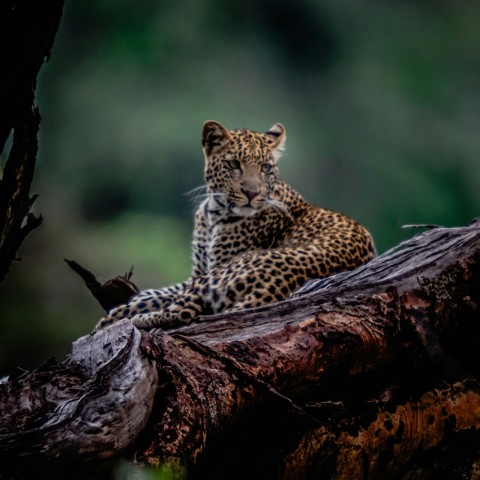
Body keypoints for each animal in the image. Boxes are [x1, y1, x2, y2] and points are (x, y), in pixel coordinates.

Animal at [94, 120, 376, 332]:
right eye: (233, 164)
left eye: (265, 167)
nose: (251, 193)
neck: (213, 213)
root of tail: (277, 285)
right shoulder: (198, 271)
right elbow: (163, 290)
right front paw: (136, 296)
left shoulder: (209, 271)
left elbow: (164, 295)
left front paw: (123, 308)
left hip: (223, 273)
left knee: (183, 310)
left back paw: (122, 319)